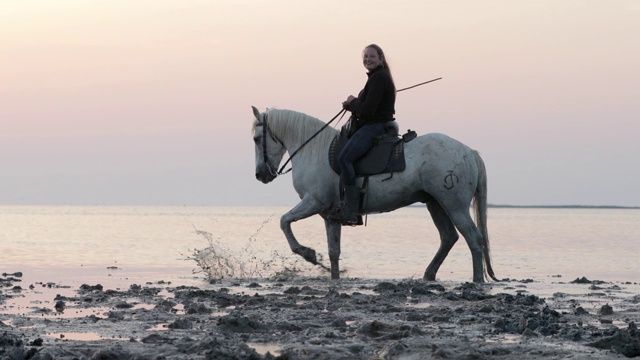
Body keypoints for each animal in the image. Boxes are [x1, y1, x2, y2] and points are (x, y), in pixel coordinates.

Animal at [252, 105, 498, 282]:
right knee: (449, 237)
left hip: (454, 205)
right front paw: (334, 277)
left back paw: (477, 280)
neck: (313, 150)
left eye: (256, 138)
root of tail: (468, 151)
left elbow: (284, 221)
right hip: (435, 203)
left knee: (473, 238)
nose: (260, 174)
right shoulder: (330, 215)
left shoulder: (314, 203)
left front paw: (308, 254)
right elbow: (333, 251)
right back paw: (428, 275)